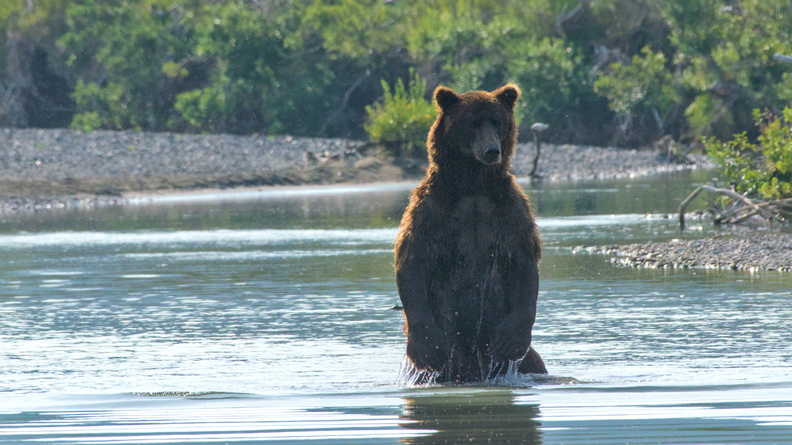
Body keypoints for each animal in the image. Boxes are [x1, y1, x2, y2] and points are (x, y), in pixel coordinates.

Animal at [394, 84, 547, 384]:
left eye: (497, 121)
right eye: (473, 122)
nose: (492, 150)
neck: (473, 185)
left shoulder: (509, 210)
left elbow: (522, 260)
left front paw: (511, 339)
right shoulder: (430, 211)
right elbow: (413, 261)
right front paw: (426, 345)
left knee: (534, 363)